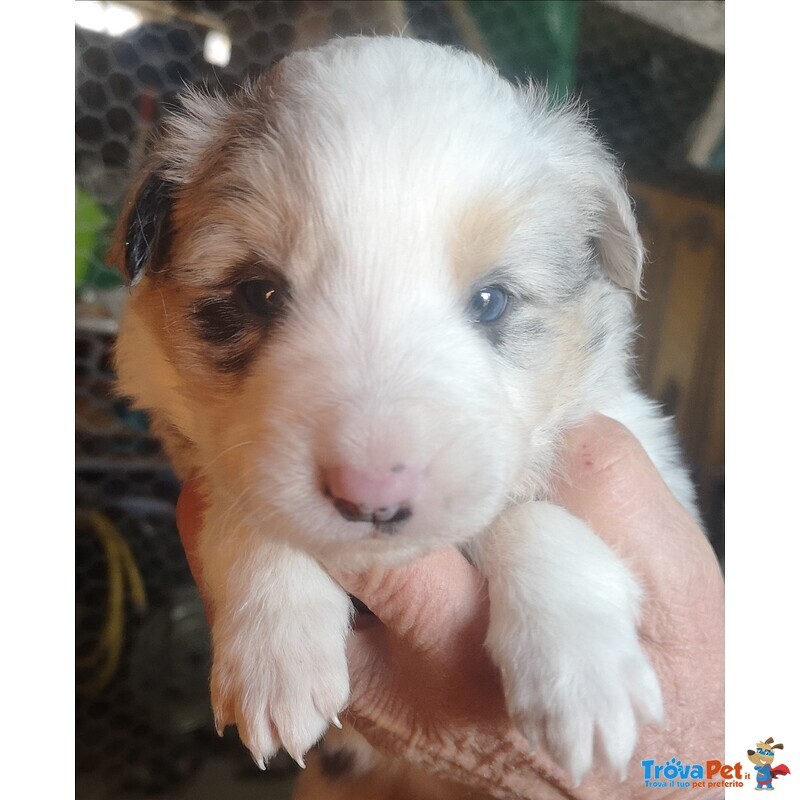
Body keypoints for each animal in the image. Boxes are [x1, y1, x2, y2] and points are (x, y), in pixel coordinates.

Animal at [112, 36, 700, 788]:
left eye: (492, 301)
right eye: (258, 293)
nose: (373, 495)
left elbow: (534, 514)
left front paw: (582, 682)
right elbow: (247, 514)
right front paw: (277, 661)